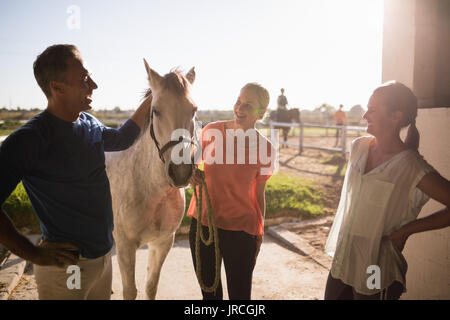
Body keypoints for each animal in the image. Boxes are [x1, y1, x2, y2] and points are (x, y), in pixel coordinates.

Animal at [106, 60, 198, 300]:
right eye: (155, 111)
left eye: (194, 110)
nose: (181, 172)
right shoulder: (126, 247)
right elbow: (130, 290)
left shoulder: (162, 243)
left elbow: (150, 286)